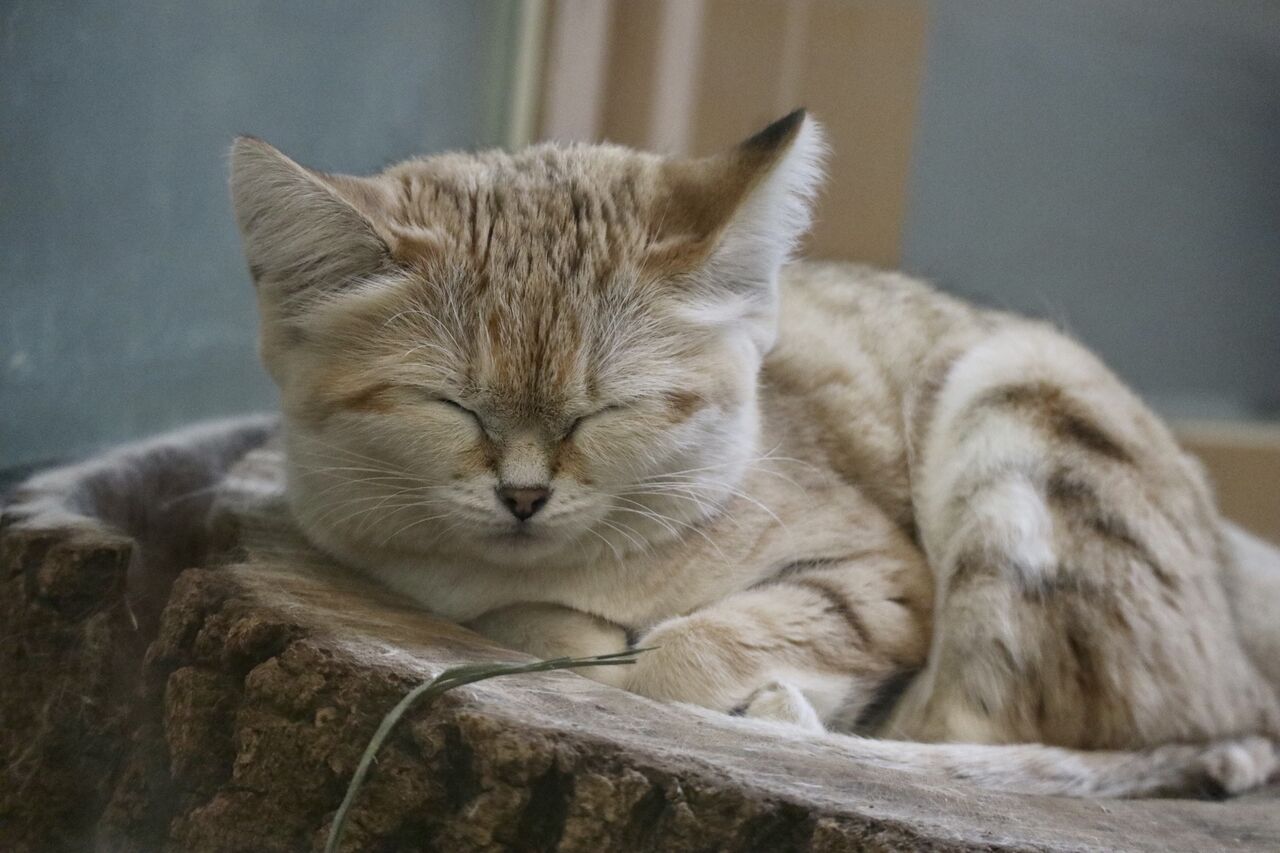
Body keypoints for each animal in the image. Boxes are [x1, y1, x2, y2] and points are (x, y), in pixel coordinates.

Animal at [229, 110, 1280, 798]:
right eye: (448, 404)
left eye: (610, 409)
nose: (523, 494)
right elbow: (533, 617)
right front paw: (562, 629)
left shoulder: (885, 576)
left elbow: (684, 651)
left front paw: (663, 664)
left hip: (1020, 407)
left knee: (977, 729)